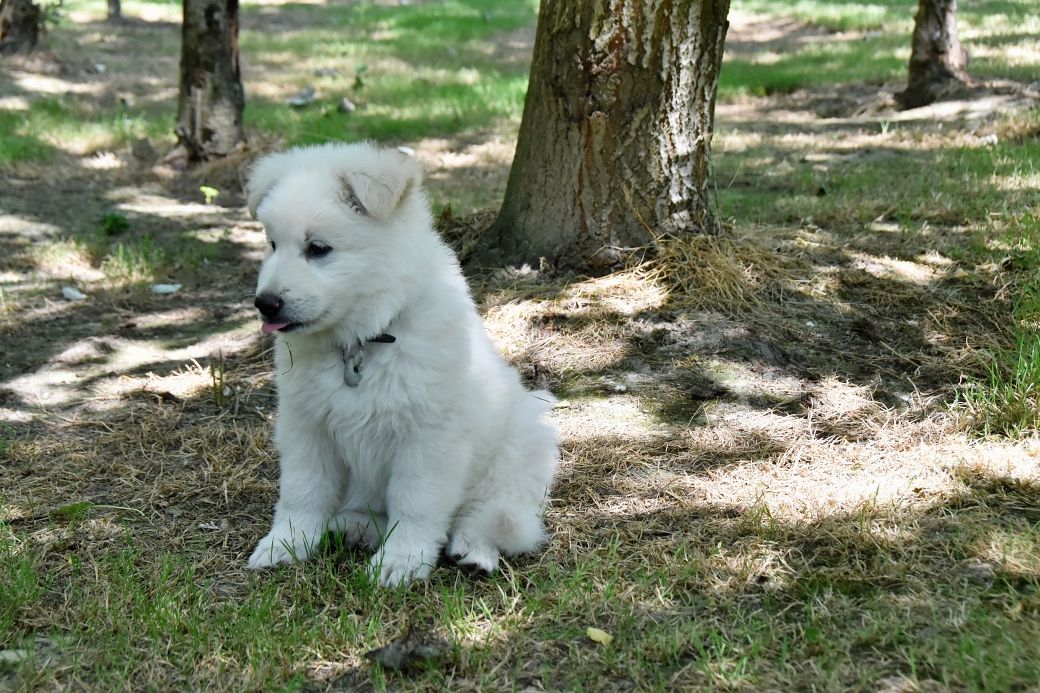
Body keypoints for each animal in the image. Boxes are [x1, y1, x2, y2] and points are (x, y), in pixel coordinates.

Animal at [243, 142, 560, 586]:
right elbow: (301, 492)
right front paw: (284, 544)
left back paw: (475, 550)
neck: (363, 341)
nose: (265, 303)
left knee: (498, 515)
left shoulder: (429, 438)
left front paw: (401, 562)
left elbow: (415, 504)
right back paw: (351, 527)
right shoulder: (307, 425)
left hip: (523, 445)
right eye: (272, 244)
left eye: (318, 248)